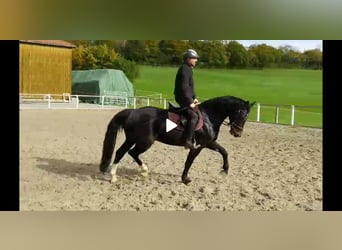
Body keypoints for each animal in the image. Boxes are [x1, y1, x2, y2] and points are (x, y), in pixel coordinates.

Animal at [99, 95, 254, 184]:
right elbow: (189, 162)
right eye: (242, 114)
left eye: (247, 116)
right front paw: (185, 179)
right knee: (132, 153)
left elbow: (224, 151)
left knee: (120, 152)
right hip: (145, 142)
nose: (237, 133)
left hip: (131, 139)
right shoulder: (198, 146)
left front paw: (225, 170)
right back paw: (143, 171)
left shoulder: (208, 143)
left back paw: (114, 177)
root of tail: (133, 111)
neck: (208, 117)